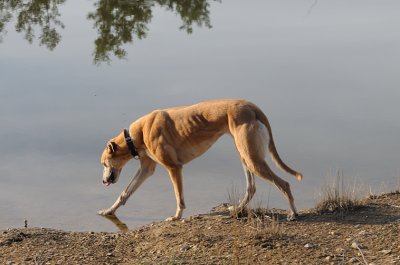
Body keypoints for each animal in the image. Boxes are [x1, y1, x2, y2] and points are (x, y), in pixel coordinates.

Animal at [98, 98, 302, 219]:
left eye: (104, 163)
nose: (103, 181)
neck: (135, 135)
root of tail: (252, 107)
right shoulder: (146, 169)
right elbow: (125, 193)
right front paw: (109, 210)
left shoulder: (174, 168)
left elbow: (179, 197)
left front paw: (176, 217)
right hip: (245, 157)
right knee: (251, 188)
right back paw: (237, 209)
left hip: (252, 159)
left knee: (284, 184)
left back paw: (293, 213)